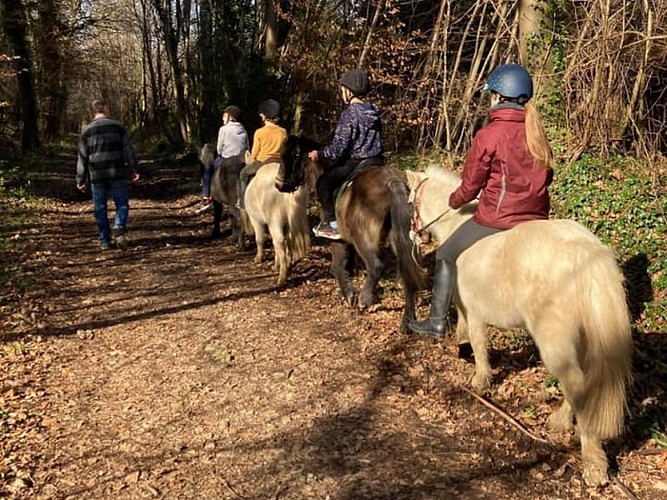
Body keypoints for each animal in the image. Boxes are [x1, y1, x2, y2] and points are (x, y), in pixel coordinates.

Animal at [243, 151, 310, 286]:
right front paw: (277, 263)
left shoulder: (256, 221)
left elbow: (260, 239)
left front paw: (259, 258)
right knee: (286, 240)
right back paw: (286, 265)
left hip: (274, 220)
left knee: (279, 241)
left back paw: (282, 276)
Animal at [278, 137, 426, 332]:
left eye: (288, 156)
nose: (278, 184)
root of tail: (392, 180)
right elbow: (348, 264)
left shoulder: (338, 239)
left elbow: (337, 267)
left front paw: (349, 294)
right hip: (400, 240)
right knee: (407, 277)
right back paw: (406, 323)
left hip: (363, 238)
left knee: (376, 266)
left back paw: (364, 299)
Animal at [408, 166, 632, 486]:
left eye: (411, 201)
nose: (415, 236)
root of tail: (587, 256)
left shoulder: (473, 310)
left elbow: (477, 341)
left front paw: (479, 379)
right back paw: (561, 423)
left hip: (554, 341)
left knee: (575, 384)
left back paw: (592, 462)